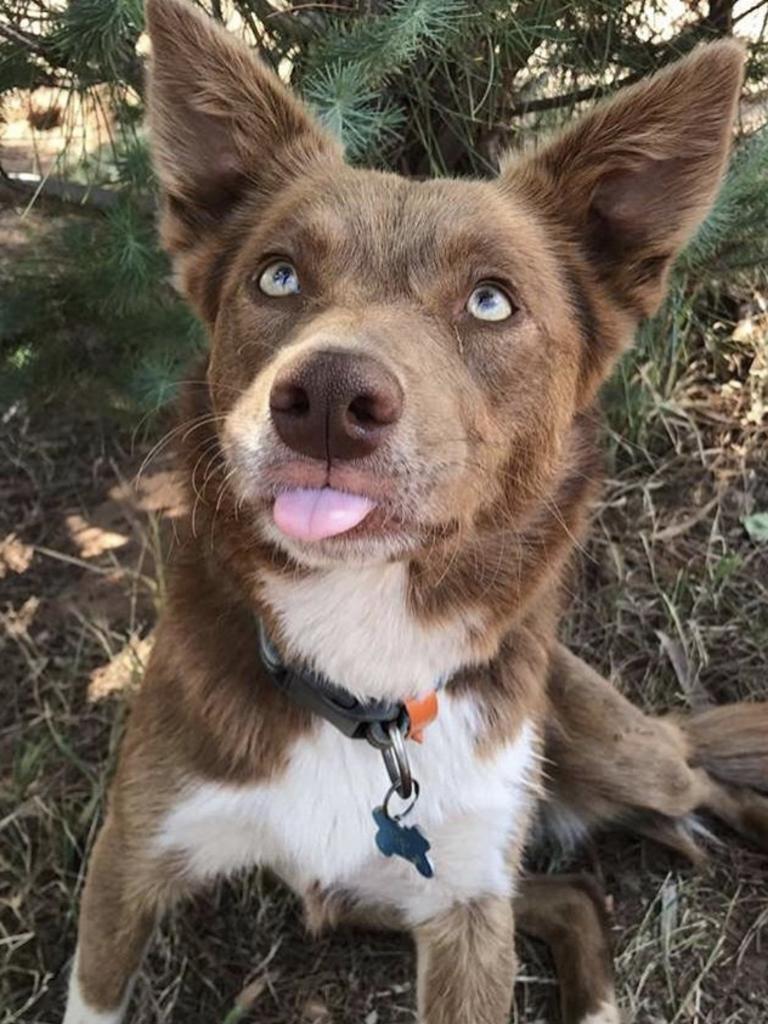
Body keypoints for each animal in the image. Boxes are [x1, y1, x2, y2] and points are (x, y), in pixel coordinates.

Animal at [61, 2, 768, 1024]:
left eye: (491, 301)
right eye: (277, 277)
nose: (325, 398)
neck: (364, 680)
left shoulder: (467, 910)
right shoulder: (130, 857)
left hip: (614, 749)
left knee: (697, 775)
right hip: (379, 894)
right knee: (572, 890)